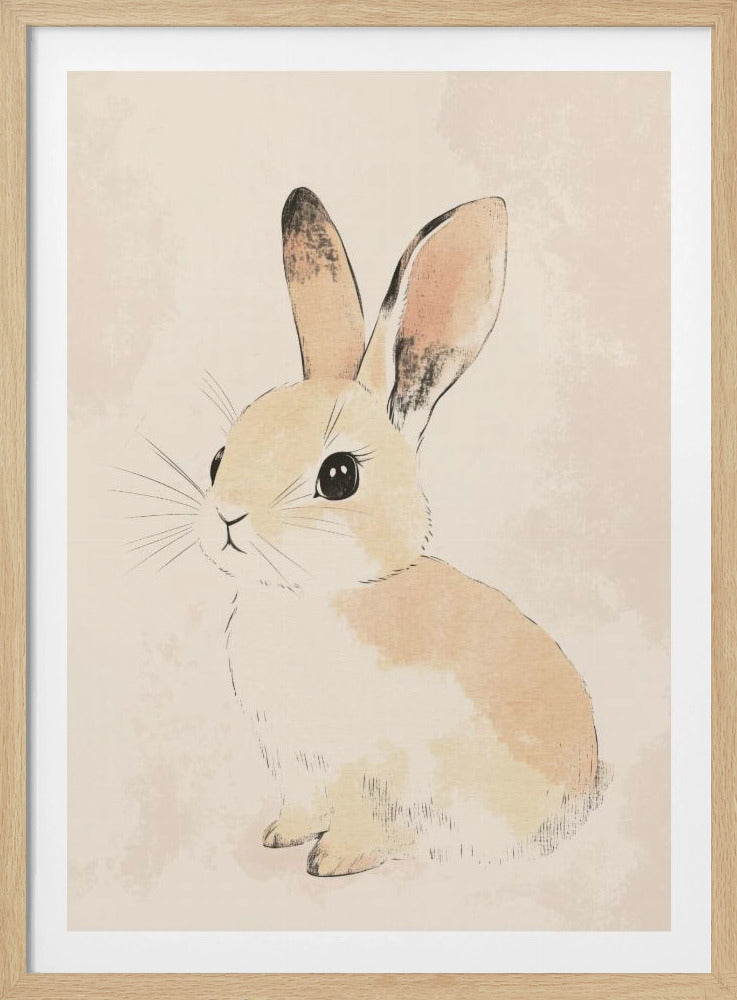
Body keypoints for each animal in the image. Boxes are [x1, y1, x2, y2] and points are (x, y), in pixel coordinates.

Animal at [196, 187, 600, 877]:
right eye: (219, 459)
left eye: (338, 477)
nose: (228, 517)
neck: (319, 596)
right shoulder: (295, 762)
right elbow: (302, 803)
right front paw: (282, 836)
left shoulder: (375, 767)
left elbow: (369, 816)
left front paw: (334, 860)